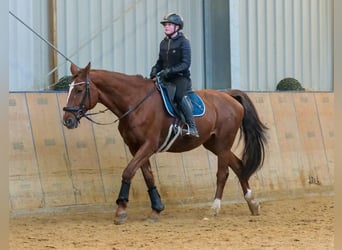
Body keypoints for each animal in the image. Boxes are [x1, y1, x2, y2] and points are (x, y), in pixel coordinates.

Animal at [62, 62, 268, 225]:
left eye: (79, 90)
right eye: (70, 89)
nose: (67, 120)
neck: (135, 103)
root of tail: (229, 96)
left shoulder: (149, 145)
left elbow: (128, 171)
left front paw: (121, 210)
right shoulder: (135, 147)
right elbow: (148, 175)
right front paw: (156, 209)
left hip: (224, 143)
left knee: (223, 174)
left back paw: (214, 208)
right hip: (214, 145)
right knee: (239, 166)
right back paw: (252, 203)